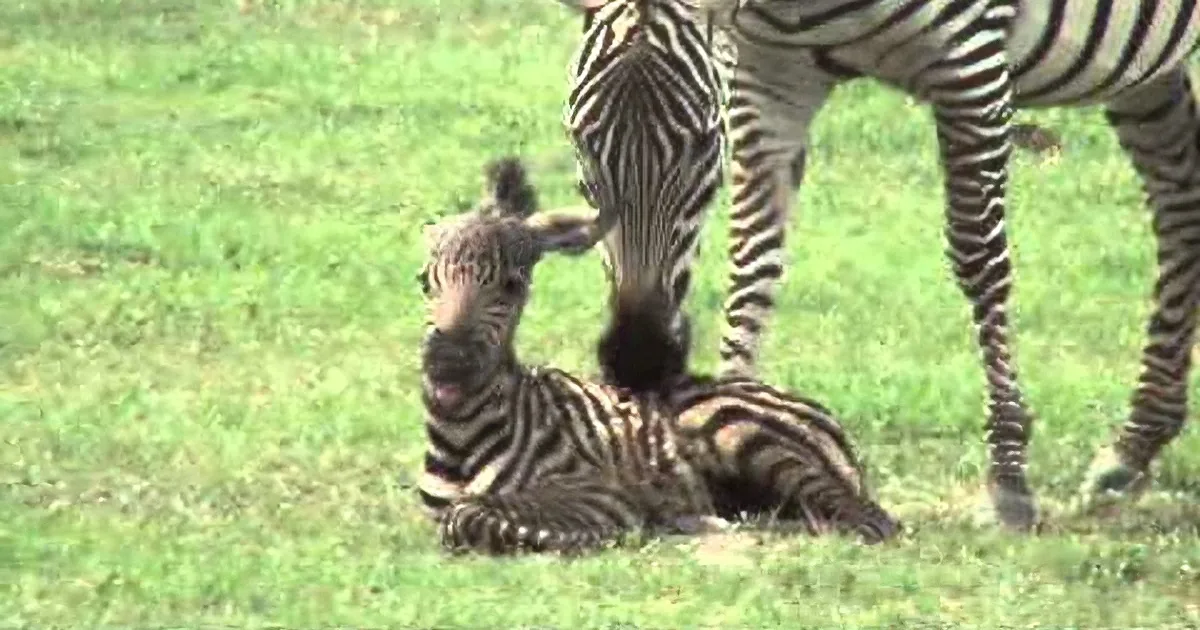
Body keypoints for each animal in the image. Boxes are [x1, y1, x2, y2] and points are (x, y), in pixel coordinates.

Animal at [416, 157, 900, 554]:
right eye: (424, 282)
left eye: (512, 285)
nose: (446, 363)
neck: (459, 435)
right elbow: (457, 515)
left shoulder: (597, 490)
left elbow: (466, 516)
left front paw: (568, 535)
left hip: (739, 433)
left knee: (866, 519)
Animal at [554, 0, 1200, 531]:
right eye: (581, 142)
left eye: (701, 143)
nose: (637, 358)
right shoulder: (771, 72)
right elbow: (754, 253)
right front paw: (733, 410)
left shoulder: (972, 65)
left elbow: (979, 257)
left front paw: (1008, 475)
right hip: (1148, 70)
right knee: (1178, 199)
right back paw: (1134, 446)